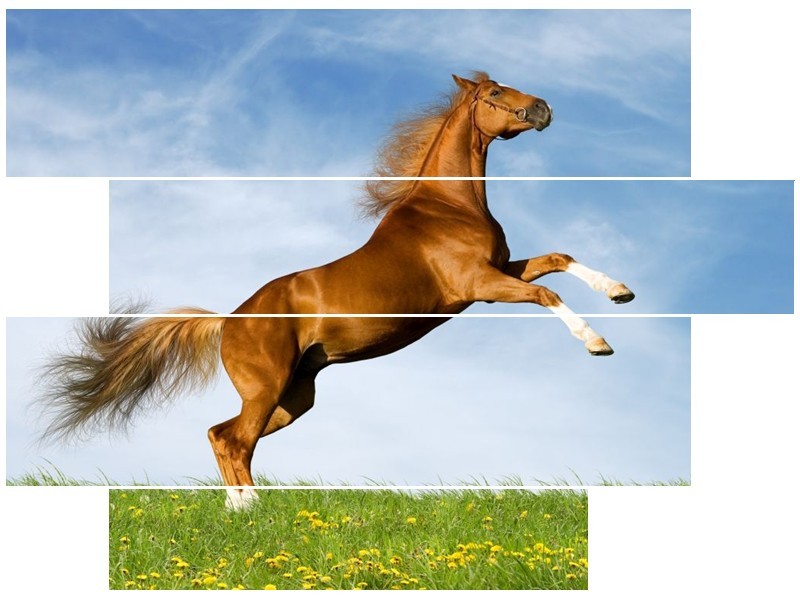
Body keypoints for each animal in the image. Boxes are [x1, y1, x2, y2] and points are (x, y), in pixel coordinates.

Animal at [40, 72, 634, 509]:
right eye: (493, 95)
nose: (543, 108)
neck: (449, 206)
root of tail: (227, 320)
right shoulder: (480, 286)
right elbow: (548, 296)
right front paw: (598, 343)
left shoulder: (505, 267)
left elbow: (558, 259)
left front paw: (619, 291)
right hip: (267, 389)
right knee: (233, 440)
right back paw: (252, 513)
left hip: (292, 398)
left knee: (220, 434)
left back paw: (237, 512)